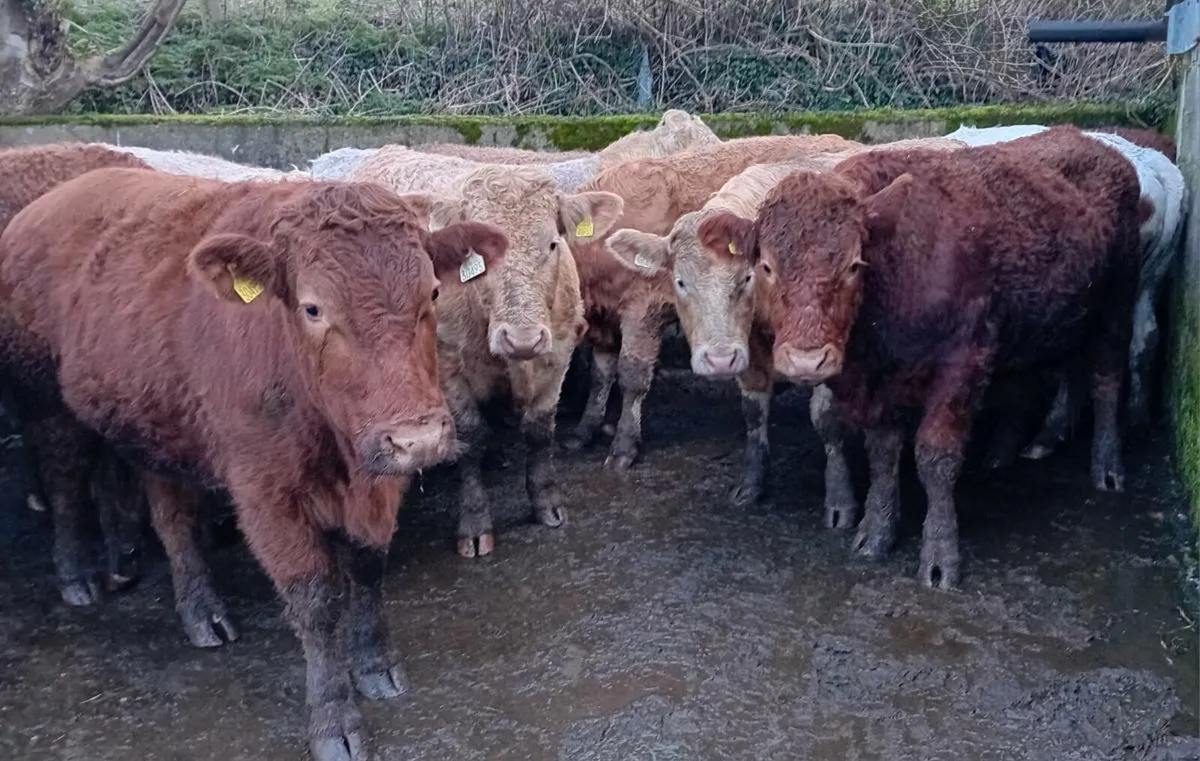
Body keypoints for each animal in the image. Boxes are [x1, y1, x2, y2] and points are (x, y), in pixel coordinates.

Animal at [0, 166, 507, 761]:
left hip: (155, 418)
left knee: (169, 516)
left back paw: (192, 605)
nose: (418, 438)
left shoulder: (378, 478)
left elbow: (366, 568)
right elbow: (315, 599)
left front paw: (376, 666)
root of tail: (51, 199)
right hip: (45, 400)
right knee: (64, 482)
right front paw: (334, 719)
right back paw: (78, 576)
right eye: (312, 307)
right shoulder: (265, 493)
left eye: (432, 291)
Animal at [349, 157, 622, 557]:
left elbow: (540, 432)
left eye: (553, 244)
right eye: (476, 255)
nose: (523, 339)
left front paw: (546, 503)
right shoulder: (448, 364)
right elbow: (471, 438)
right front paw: (475, 522)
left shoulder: (557, 355)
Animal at [563, 134, 861, 471]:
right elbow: (601, 374)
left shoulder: (643, 309)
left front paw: (623, 444)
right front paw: (586, 428)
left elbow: (632, 375)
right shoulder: (605, 318)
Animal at [698, 126, 1144, 589]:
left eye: (854, 265)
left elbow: (935, 457)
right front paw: (876, 531)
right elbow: (883, 453)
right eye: (766, 267)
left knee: (1107, 378)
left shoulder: (962, 363)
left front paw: (940, 555)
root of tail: (1091, 140)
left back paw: (1107, 468)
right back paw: (1009, 451)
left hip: (1118, 300)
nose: (807, 360)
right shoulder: (879, 383)